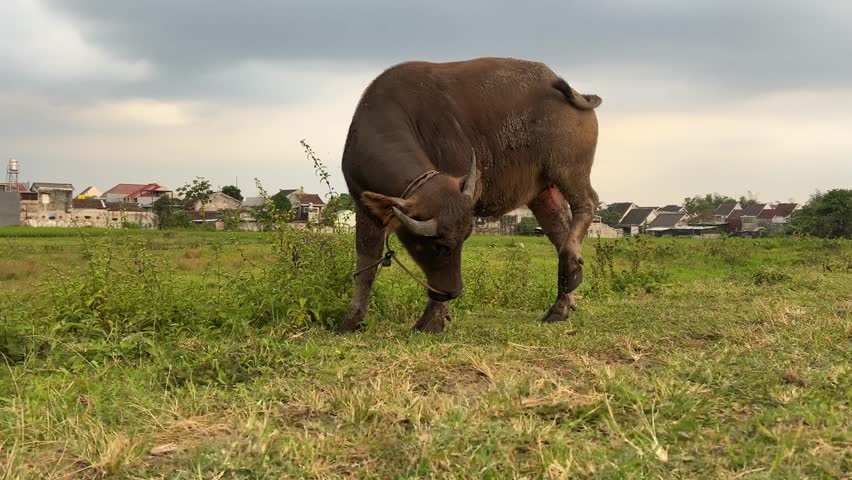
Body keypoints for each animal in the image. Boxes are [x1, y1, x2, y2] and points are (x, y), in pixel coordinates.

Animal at [338, 57, 601, 333]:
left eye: (461, 241)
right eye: (439, 246)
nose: (454, 291)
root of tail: (560, 84)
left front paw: (432, 319)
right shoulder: (363, 207)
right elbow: (365, 265)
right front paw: (351, 319)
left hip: (568, 169)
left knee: (587, 203)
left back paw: (570, 266)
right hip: (543, 192)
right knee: (560, 229)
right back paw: (562, 302)